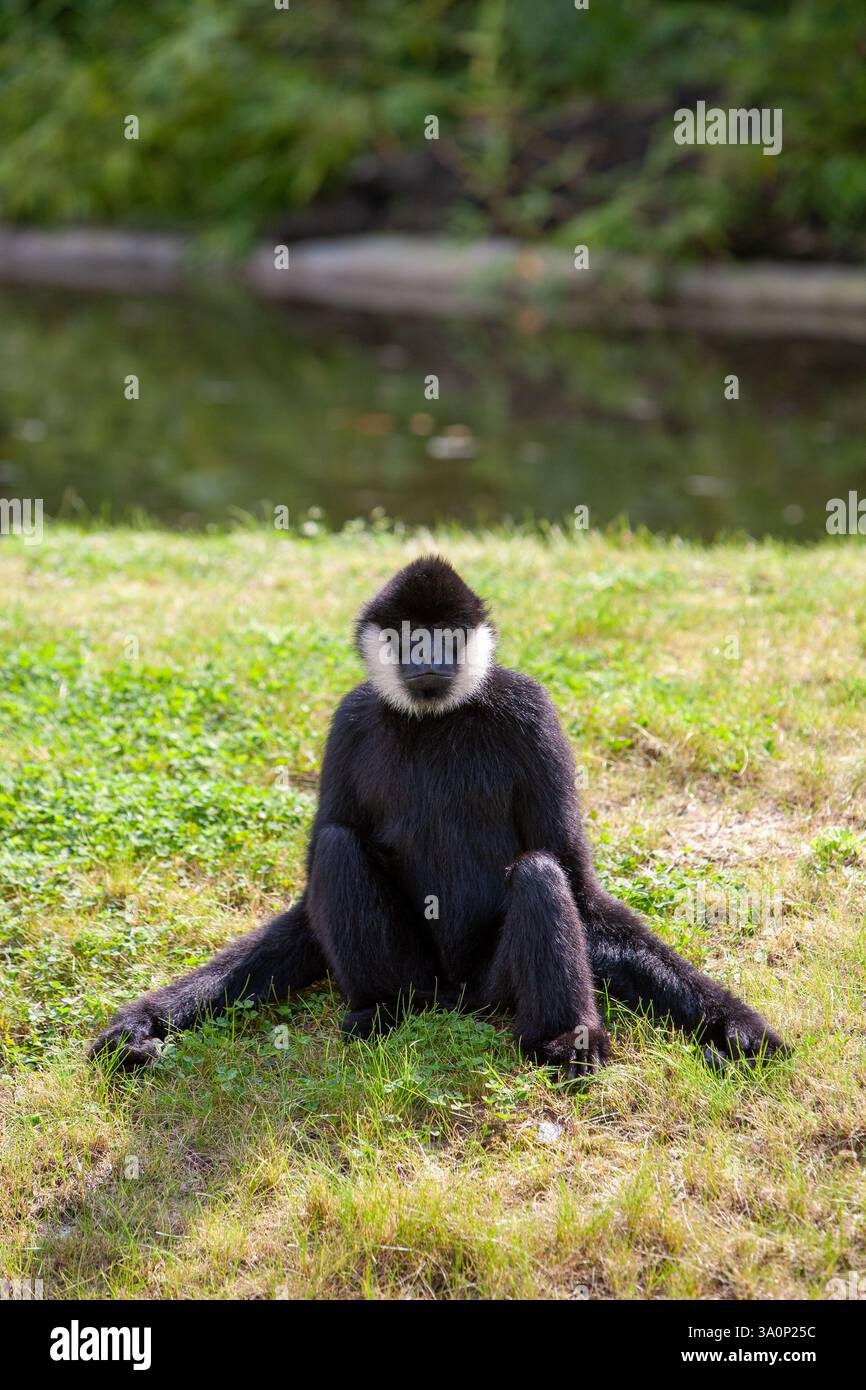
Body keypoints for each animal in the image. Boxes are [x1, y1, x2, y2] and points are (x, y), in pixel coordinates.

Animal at [90, 556, 785, 1078]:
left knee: (540, 872)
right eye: (408, 636)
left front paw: (736, 1027)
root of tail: (454, 995)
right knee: (339, 845)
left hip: (491, 985)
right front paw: (142, 1025)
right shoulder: (350, 720)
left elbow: (579, 883)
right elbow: (311, 895)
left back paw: (561, 1040)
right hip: (417, 976)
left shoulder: (533, 709)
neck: (434, 718)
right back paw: (380, 1011)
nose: (428, 654)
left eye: (445, 635)